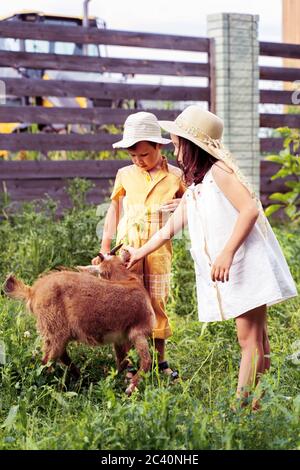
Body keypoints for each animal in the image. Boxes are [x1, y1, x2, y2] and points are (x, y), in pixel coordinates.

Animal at [2, 252, 155, 394]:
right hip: (54, 329)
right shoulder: (138, 332)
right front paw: (130, 387)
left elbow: (123, 361)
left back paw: (79, 378)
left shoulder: (120, 338)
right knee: (46, 361)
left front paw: (115, 378)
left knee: (60, 355)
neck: (129, 281)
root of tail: (33, 291)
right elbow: (146, 361)